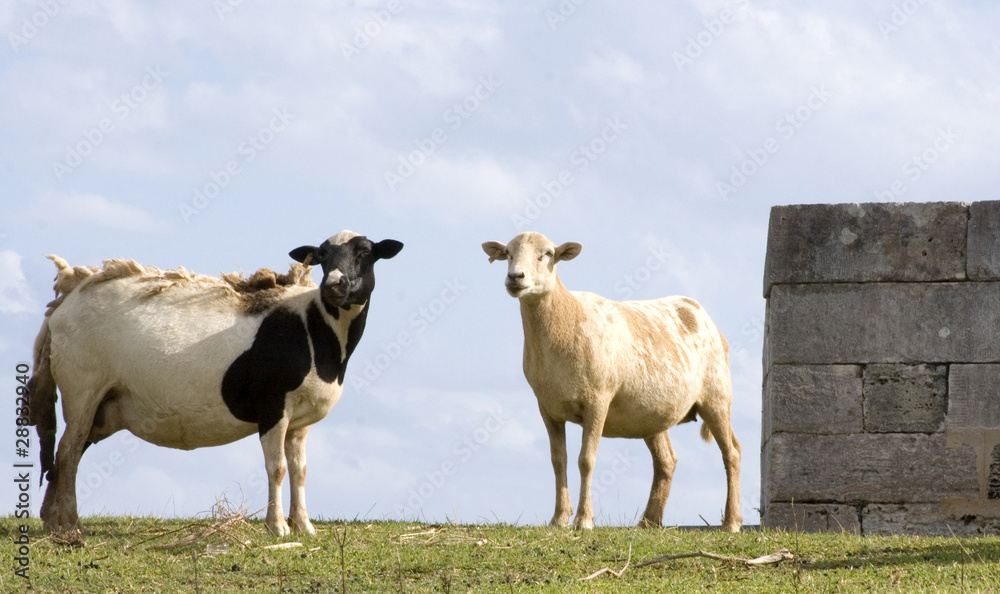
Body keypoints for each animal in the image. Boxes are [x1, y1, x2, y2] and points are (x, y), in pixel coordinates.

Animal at [27, 231, 403, 536]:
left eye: (365, 252)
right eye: (323, 255)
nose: (334, 284)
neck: (316, 331)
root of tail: (65, 299)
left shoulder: (300, 419)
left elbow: (300, 470)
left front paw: (305, 527)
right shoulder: (273, 405)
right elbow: (277, 468)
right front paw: (277, 527)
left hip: (104, 404)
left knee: (65, 455)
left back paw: (51, 519)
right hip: (82, 387)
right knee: (69, 451)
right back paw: (71, 523)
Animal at [482, 232, 741, 531]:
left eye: (546, 254)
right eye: (508, 254)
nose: (515, 277)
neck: (565, 321)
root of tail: (702, 313)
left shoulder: (598, 399)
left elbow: (586, 460)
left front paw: (584, 519)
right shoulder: (547, 407)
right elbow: (559, 461)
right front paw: (559, 518)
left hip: (717, 395)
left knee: (732, 453)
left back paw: (731, 522)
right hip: (651, 413)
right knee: (667, 460)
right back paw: (649, 521)